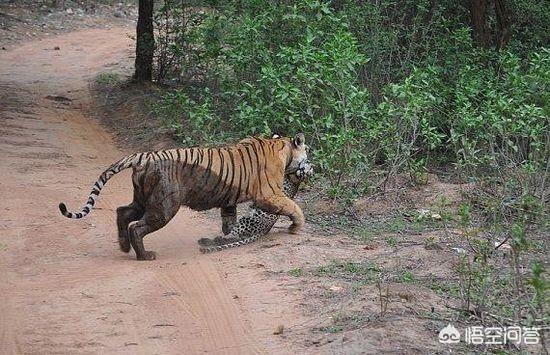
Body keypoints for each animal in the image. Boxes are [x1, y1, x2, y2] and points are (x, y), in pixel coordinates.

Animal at [61, 135, 310, 260]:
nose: (311, 166)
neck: (283, 147)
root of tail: (144, 156)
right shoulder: (268, 195)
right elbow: (293, 206)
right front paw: (297, 226)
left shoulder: (229, 200)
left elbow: (229, 221)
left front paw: (226, 238)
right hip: (164, 206)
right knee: (137, 228)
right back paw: (144, 255)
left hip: (143, 200)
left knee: (123, 212)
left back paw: (123, 247)